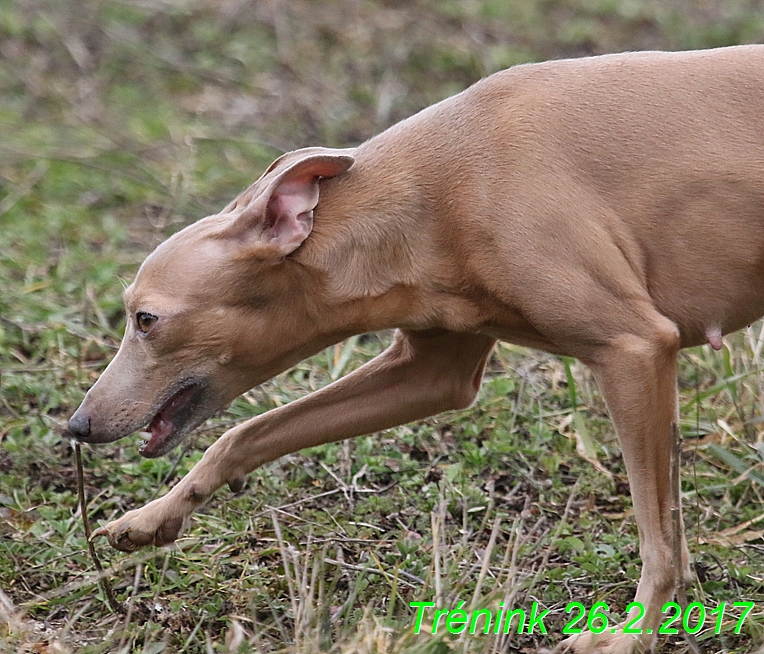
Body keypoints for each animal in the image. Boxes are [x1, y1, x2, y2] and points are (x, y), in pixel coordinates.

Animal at [67, 43, 764, 652]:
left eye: (145, 319)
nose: (77, 425)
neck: (439, 187)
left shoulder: (634, 348)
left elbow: (658, 536)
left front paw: (633, 634)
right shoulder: (433, 371)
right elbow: (244, 433)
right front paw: (151, 519)